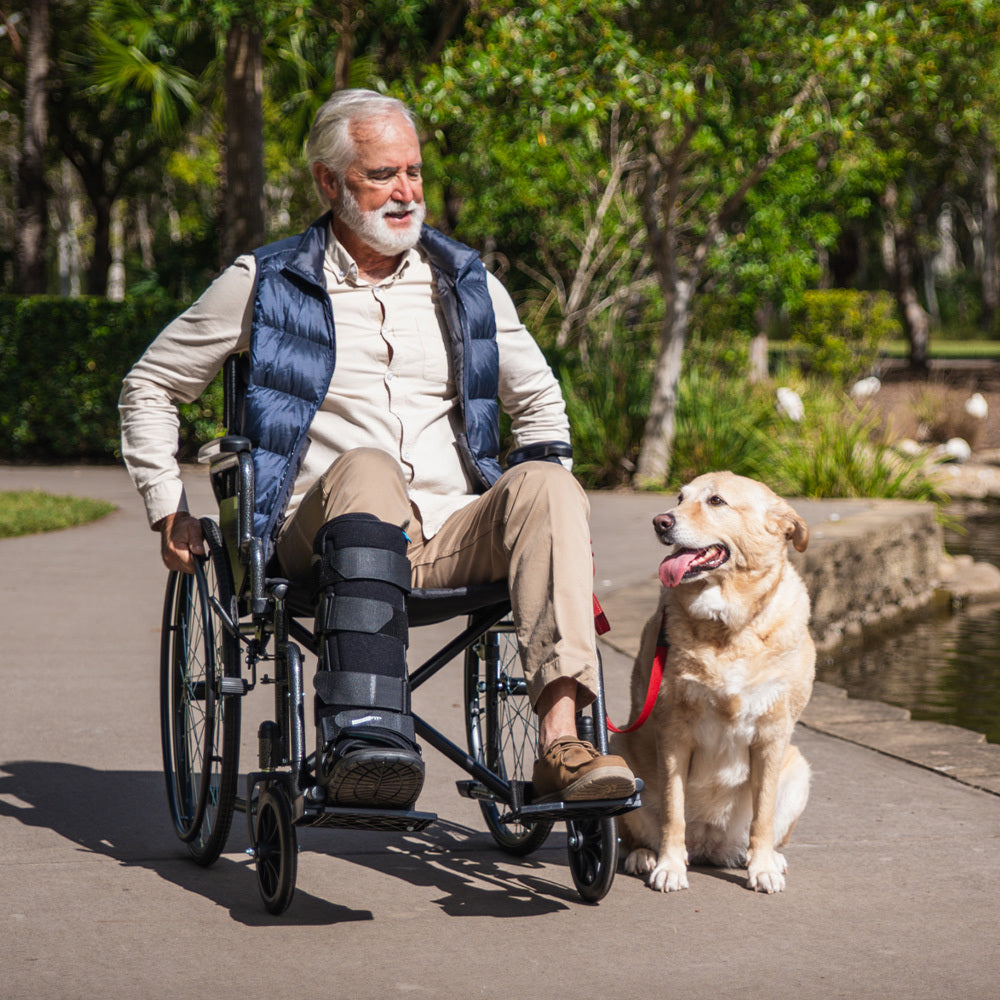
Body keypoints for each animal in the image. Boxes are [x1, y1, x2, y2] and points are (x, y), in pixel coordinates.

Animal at [612, 472, 816, 896]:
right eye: (679, 497)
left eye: (716, 501)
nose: (660, 521)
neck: (729, 628)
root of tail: (708, 846)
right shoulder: (674, 730)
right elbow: (672, 810)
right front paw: (670, 866)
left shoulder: (773, 734)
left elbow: (763, 815)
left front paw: (763, 867)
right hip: (618, 748)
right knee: (637, 833)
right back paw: (645, 856)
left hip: (797, 768)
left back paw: (766, 858)